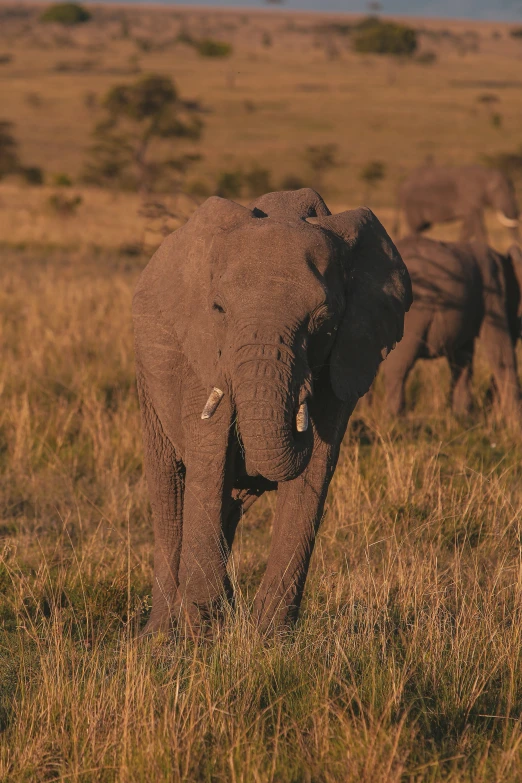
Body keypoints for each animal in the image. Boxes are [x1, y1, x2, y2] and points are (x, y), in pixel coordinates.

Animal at [131, 190, 410, 636]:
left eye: (323, 320)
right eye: (219, 309)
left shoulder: (348, 355)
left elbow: (314, 472)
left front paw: (268, 636)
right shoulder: (203, 353)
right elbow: (209, 460)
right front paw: (200, 631)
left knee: (232, 503)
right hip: (147, 373)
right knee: (170, 490)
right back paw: (161, 634)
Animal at [378, 236, 520, 416]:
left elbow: (463, 357)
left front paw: (462, 417)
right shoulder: (493, 294)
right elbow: (500, 351)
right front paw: (513, 420)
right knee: (398, 367)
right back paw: (396, 418)